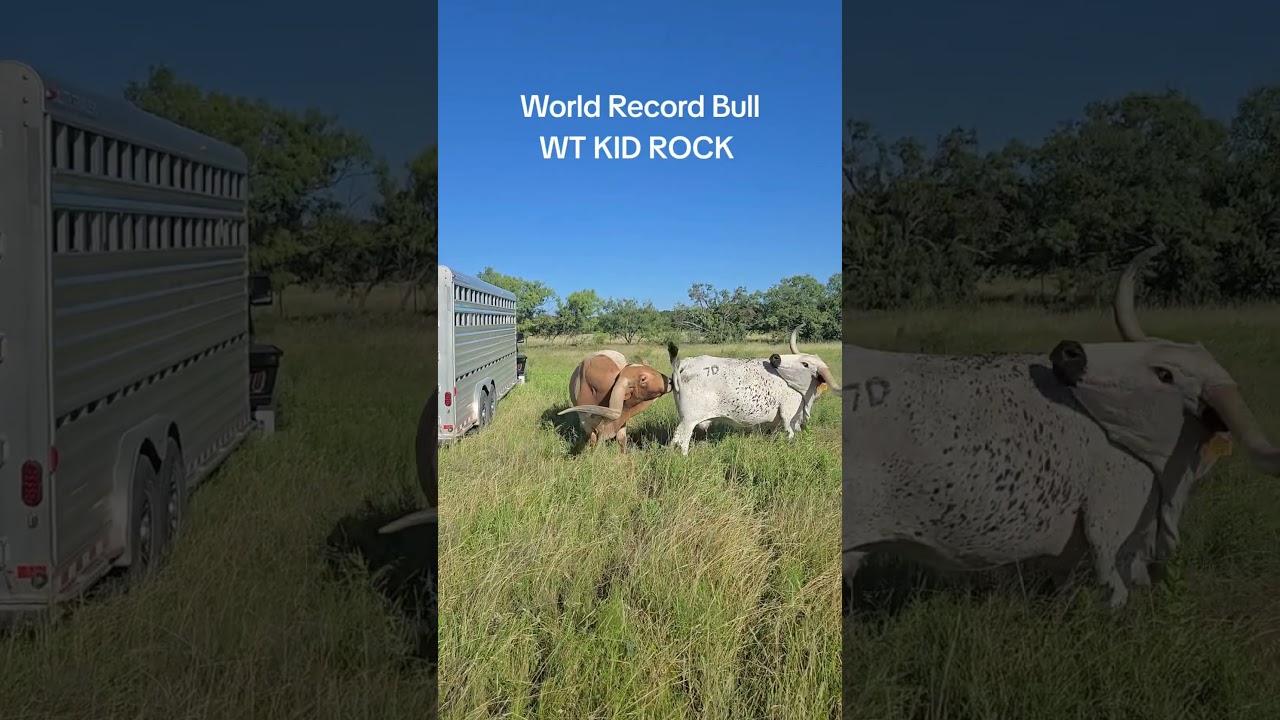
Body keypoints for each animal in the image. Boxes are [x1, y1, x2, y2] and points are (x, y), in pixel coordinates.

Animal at [667, 325, 841, 455]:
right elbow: (790, 435)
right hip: (688, 420)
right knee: (681, 442)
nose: (775, 358)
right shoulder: (788, 415)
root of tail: (685, 363)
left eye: (805, 364)